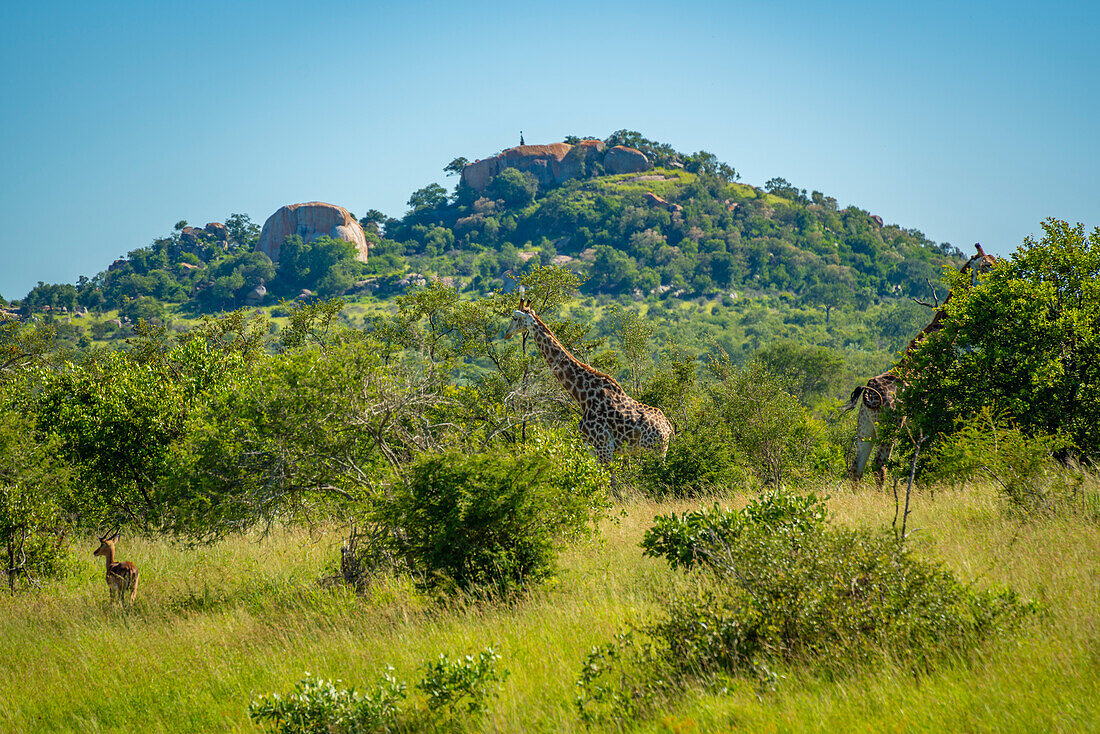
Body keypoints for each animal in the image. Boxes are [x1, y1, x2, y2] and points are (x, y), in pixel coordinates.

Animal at [503, 294, 668, 490]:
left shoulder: (604, 446)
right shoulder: (591, 447)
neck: (583, 397)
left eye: (514, 318)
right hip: (658, 451)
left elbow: (611, 487)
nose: (506, 333)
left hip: (655, 451)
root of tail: (668, 428)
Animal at [840, 245, 998, 488]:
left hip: (865, 426)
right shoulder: (940, 405)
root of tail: (868, 394)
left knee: (856, 469)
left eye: (997, 260)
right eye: (988, 265)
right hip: (891, 424)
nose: (1003, 275)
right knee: (879, 465)